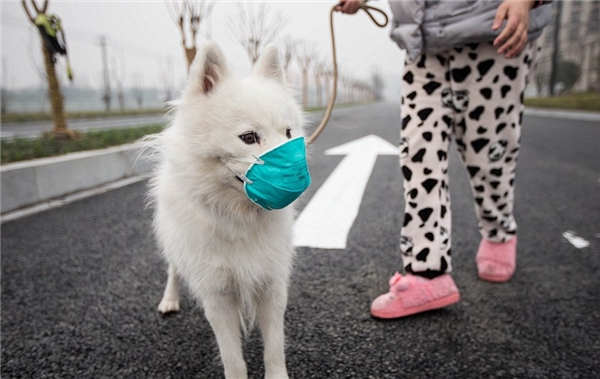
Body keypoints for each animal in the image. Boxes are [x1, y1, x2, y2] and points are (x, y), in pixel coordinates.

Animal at [144, 41, 310, 379]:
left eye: (289, 134)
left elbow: (274, 349)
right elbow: (232, 358)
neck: (239, 216)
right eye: (249, 137)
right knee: (173, 270)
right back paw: (169, 300)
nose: (296, 174)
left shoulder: (272, 284)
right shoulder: (217, 296)